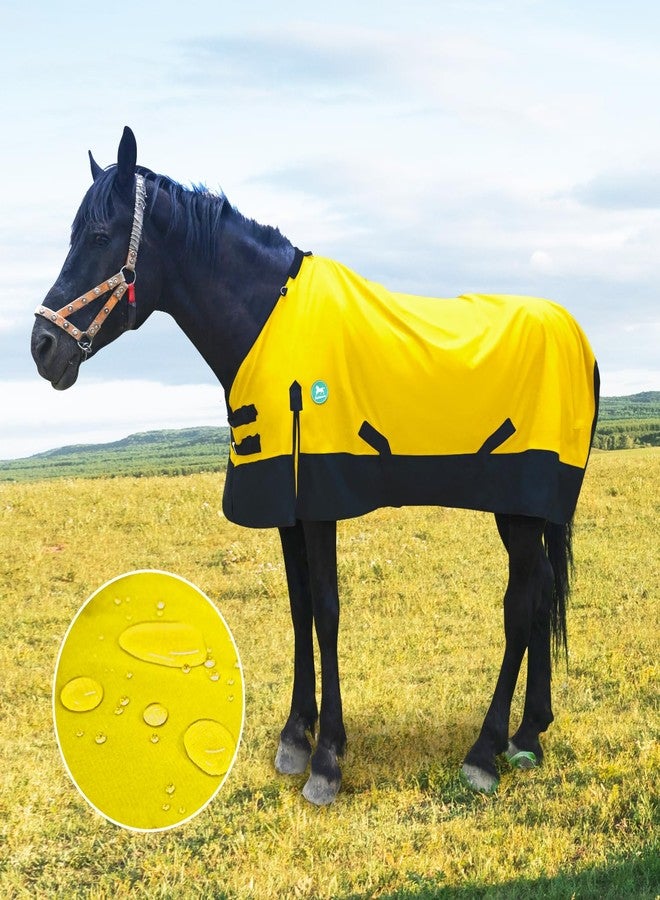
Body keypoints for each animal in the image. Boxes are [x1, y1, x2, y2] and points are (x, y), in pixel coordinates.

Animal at [31, 127, 599, 806]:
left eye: (97, 236)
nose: (41, 348)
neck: (269, 321)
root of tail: (578, 339)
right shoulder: (284, 501)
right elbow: (300, 607)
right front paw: (295, 737)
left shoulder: (321, 501)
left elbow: (327, 612)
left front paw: (327, 758)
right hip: (527, 510)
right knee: (540, 594)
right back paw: (529, 734)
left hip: (519, 505)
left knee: (521, 604)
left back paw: (486, 751)